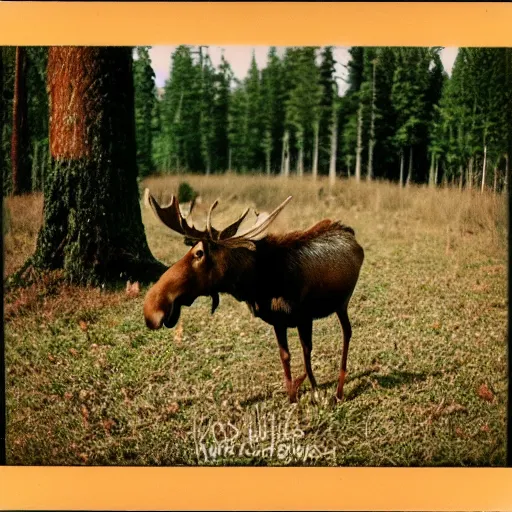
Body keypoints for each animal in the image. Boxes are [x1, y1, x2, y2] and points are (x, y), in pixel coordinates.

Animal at [143, 193, 364, 404]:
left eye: (199, 253)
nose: (152, 308)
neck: (257, 284)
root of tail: (351, 232)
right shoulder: (278, 321)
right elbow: (285, 356)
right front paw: (292, 397)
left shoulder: (304, 316)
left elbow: (306, 353)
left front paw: (315, 394)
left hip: (342, 303)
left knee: (347, 333)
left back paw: (339, 391)